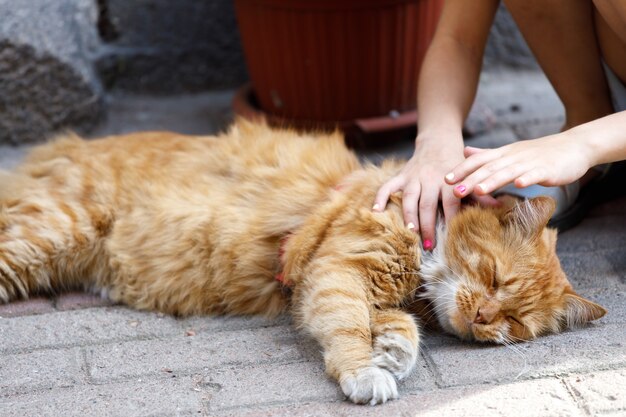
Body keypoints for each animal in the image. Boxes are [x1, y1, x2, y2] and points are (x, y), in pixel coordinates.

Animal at [1, 122, 604, 404]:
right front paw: (366, 373)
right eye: (495, 278)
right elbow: (348, 329)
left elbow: (397, 327)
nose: (482, 319)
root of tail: (63, 147)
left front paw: (394, 352)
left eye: (515, 323)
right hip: (50, 234)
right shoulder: (338, 273)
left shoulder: (370, 287)